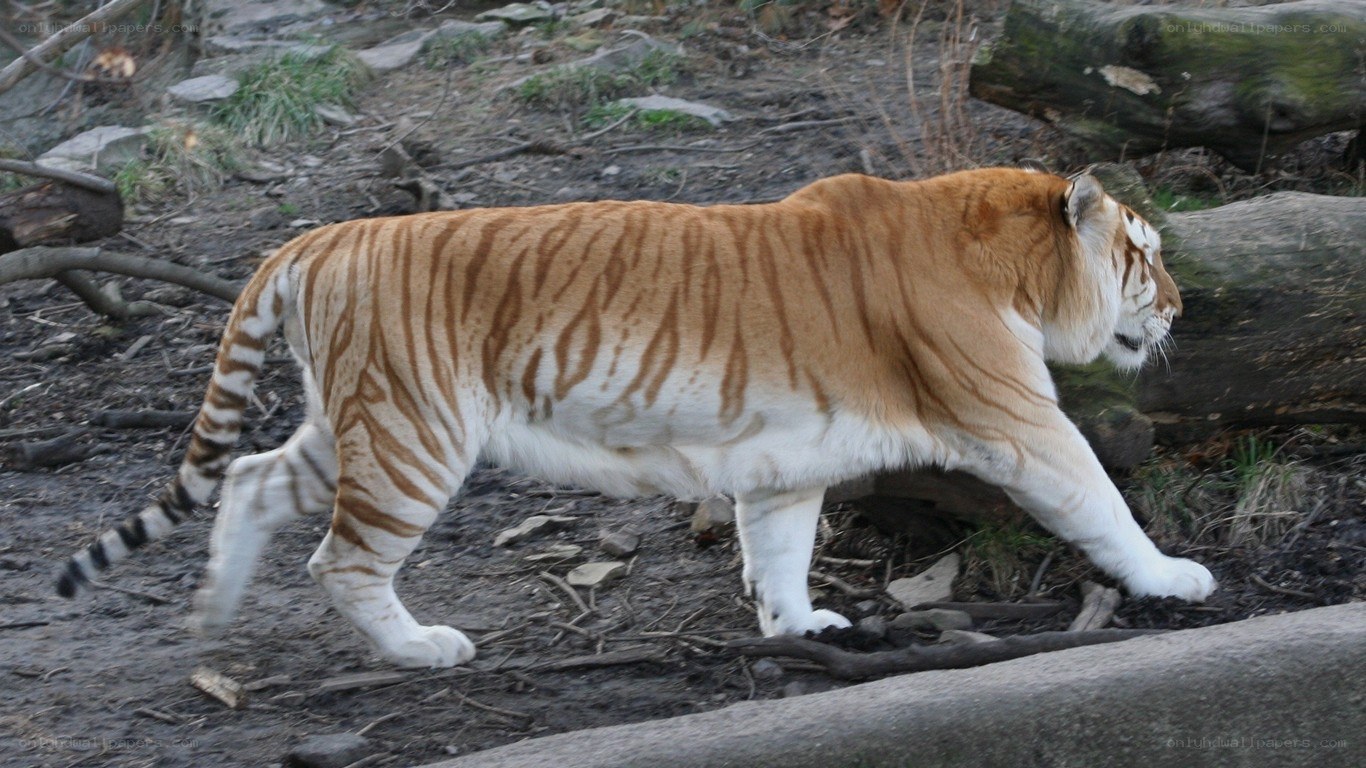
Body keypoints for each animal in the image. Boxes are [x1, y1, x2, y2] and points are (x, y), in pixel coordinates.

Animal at [56, 167, 1216, 668]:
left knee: (252, 480)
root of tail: (317, 237)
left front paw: (799, 628)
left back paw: (209, 617)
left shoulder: (788, 458)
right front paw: (1172, 579)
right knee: (339, 561)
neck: (1010, 264)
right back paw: (421, 649)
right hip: (411, 436)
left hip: (356, 427)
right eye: (1144, 254)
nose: (1180, 307)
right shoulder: (1017, 419)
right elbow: (1099, 499)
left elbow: (781, 547)